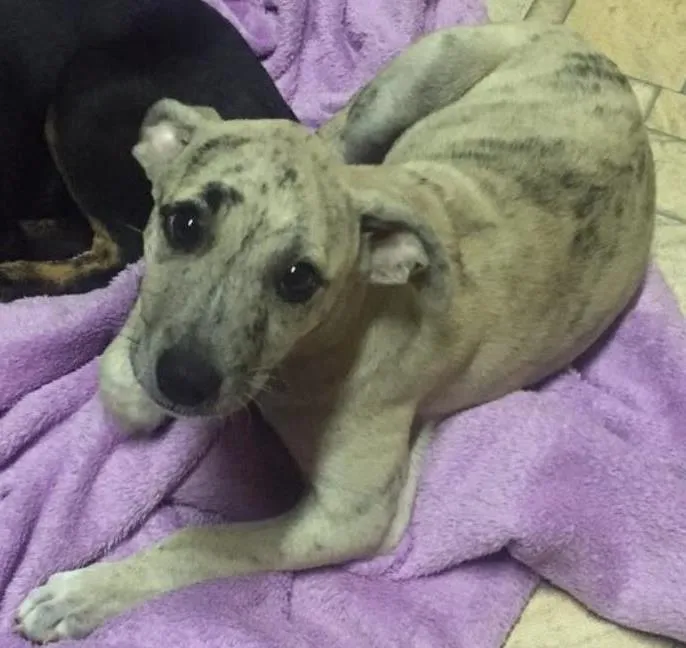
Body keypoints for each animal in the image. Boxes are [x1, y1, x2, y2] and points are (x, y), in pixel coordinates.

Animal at [15, 21, 655, 642]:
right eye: (185, 222)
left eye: (298, 279)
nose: (185, 382)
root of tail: (591, 52)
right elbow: (131, 338)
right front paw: (132, 390)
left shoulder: (347, 518)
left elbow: (201, 540)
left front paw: (80, 595)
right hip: (397, 93)